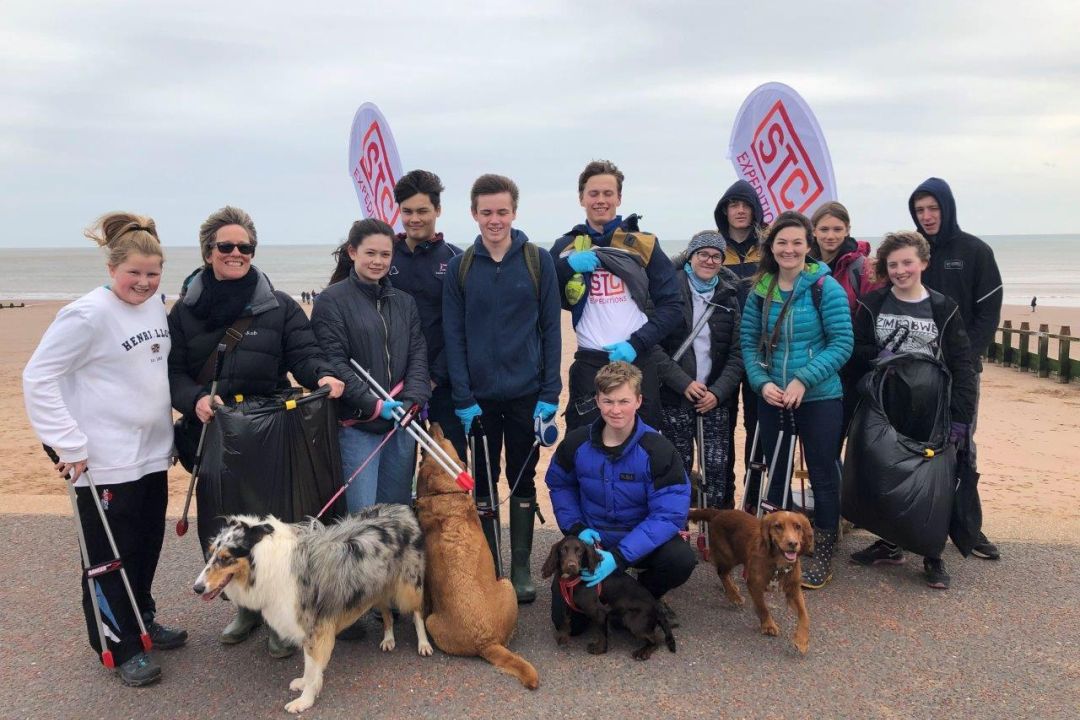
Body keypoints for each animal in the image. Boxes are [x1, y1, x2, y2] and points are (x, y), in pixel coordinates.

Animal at [540, 535, 673, 660]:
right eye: (563, 550)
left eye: (580, 551)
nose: (571, 565)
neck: (572, 579)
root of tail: (656, 606)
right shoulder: (566, 602)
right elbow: (564, 618)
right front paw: (562, 636)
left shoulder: (599, 612)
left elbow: (601, 633)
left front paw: (600, 649)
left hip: (633, 621)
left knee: (656, 639)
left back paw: (643, 652)